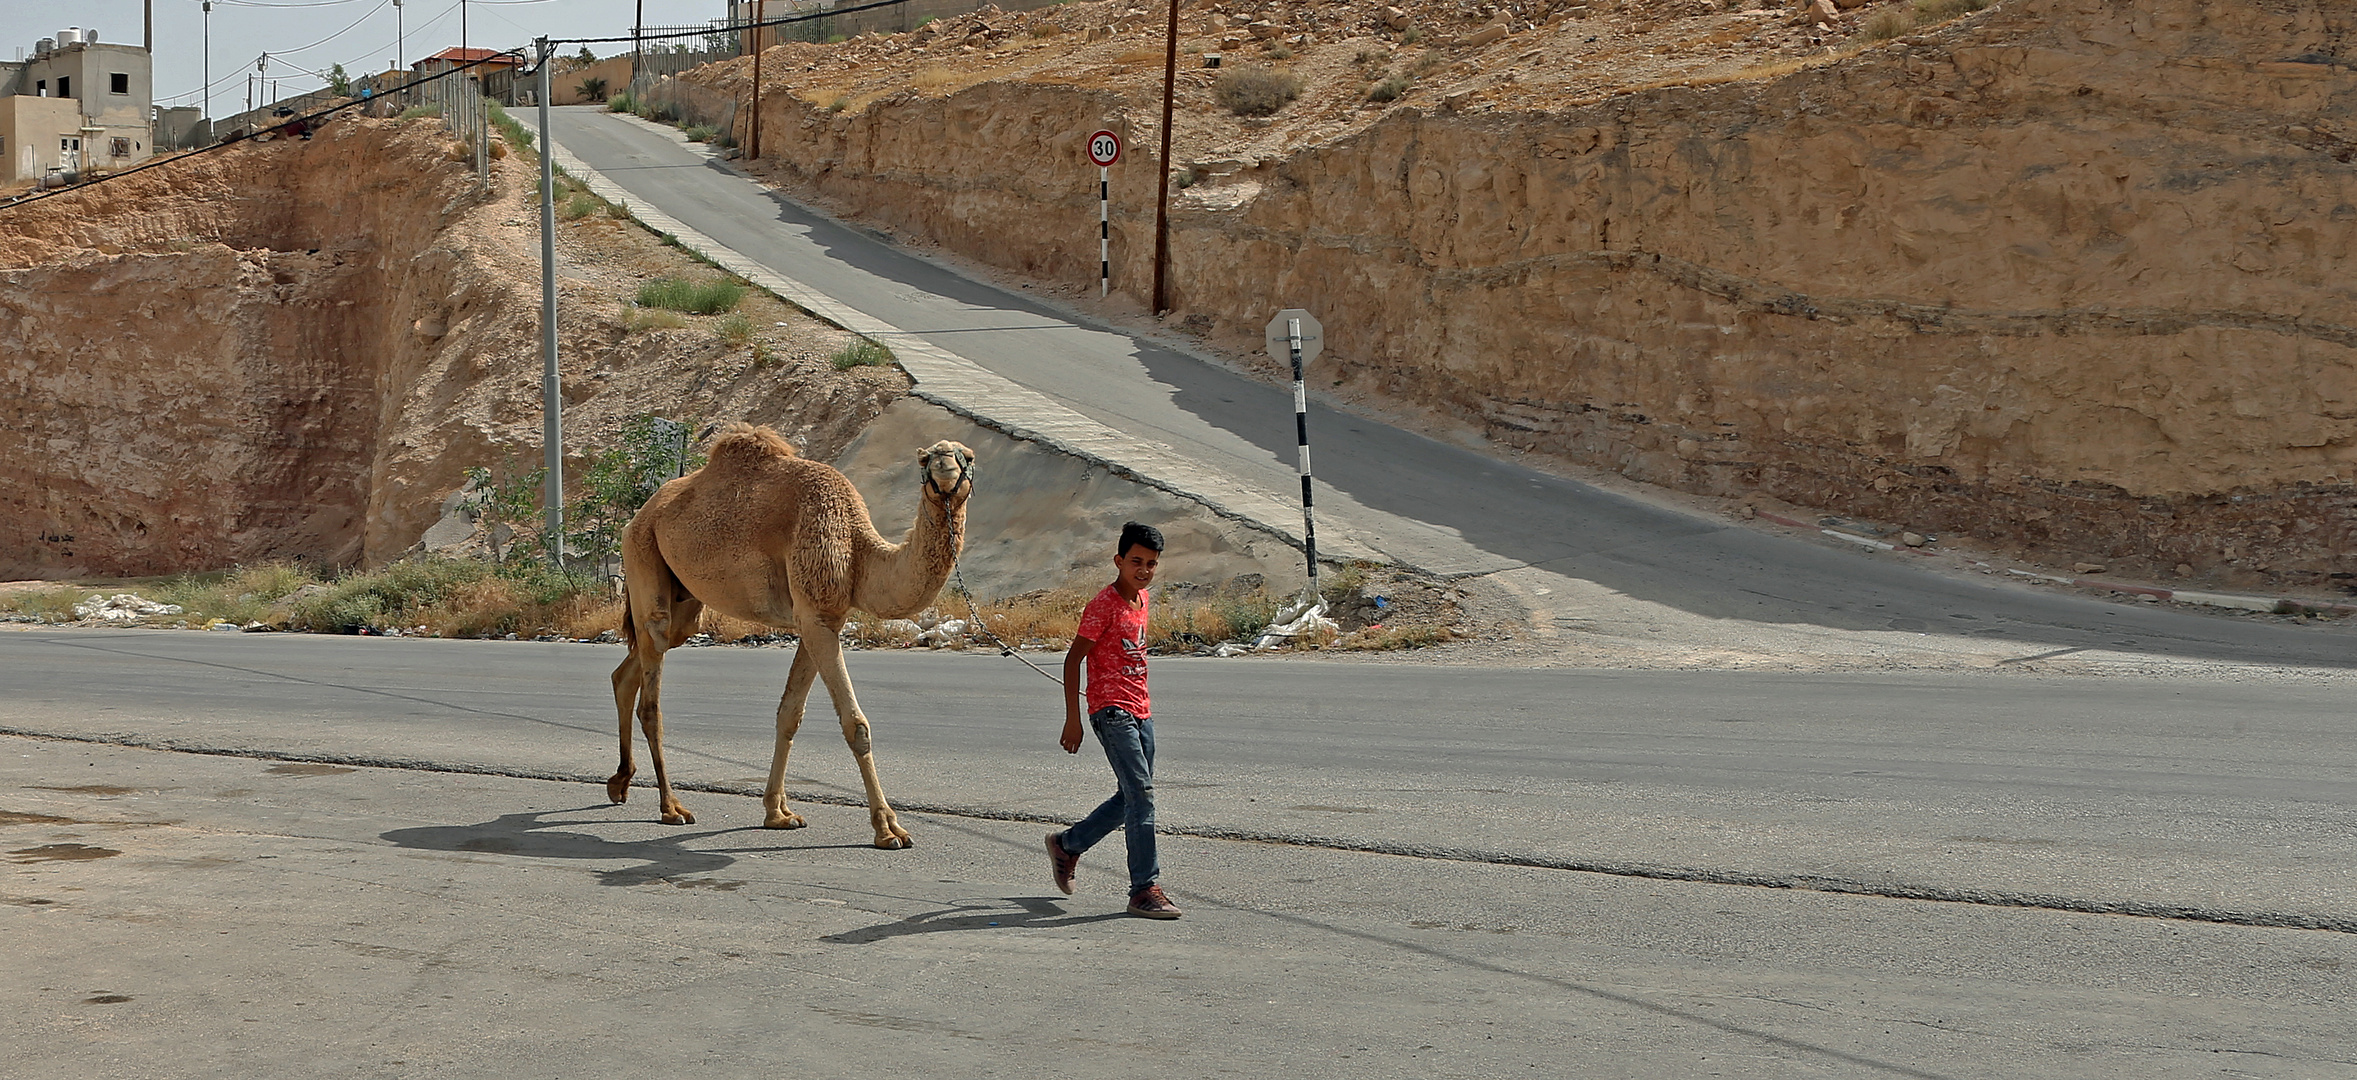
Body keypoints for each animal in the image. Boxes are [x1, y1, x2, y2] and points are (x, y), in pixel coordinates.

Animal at [612, 417, 980, 848]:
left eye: (968, 456)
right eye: (924, 459)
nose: (945, 466)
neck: (856, 548)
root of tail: (640, 515)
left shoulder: (822, 619)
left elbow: (789, 714)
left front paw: (777, 813)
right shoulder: (816, 615)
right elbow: (856, 725)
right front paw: (888, 828)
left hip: (685, 603)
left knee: (631, 668)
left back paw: (619, 783)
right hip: (643, 554)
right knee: (651, 690)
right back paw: (671, 807)